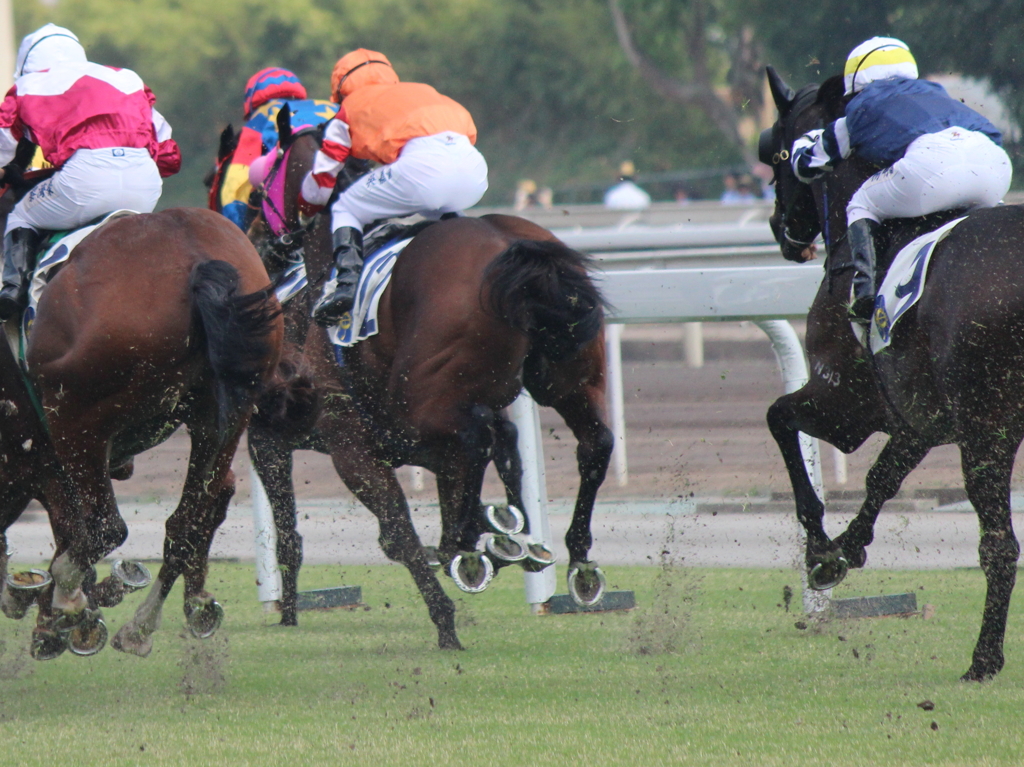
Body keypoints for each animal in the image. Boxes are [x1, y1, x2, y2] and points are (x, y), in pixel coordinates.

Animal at [0, 191, 284, 659]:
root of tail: (195, 257)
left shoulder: (34, 451)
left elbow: (68, 523)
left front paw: (59, 614)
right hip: (222, 418)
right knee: (187, 519)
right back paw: (143, 623)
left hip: (77, 419)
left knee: (107, 525)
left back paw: (73, 595)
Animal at [207, 112, 606, 647]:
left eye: (253, 186)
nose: (253, 238)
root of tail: (511, 246)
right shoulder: (395, 434)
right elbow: (481, 466)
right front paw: (499, 531)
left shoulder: (319, 441)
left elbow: (385, 532)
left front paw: (447, 610)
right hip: (565, 379)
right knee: (588, 442)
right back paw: (570, 556)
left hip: (427, 401)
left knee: (482, 439)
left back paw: (474, 550)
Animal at [761, 64, 1024, 675]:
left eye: (778, 153)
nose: (782, 229)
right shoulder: (918, 417)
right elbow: (883, 476)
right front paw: (844, 549)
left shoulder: (847, 403)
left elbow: (780, 419)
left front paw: (820, 548)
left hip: (988, 432)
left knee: (999, 544)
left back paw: (983, 659)